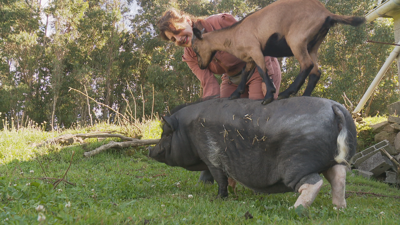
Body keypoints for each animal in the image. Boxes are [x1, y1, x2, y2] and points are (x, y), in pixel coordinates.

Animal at [192, 0, 364, 104]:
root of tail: (327, 14)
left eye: (195, 48)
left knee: (306, 65)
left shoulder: (256, 50)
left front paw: (269, 95)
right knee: (316, 72)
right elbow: (245, 73)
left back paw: (286, 93)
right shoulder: (249, 58)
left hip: (296, 40)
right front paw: (235, 94)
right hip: (313, 46)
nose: (201, 66)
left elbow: (263, 71)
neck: (233, 34)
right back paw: (305, 96)